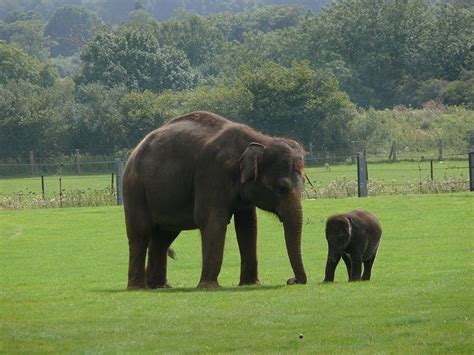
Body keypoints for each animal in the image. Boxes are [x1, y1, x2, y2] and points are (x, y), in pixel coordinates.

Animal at [122, 111, 308, 290]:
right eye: (281, 188)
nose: (291, 280)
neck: (260, 140)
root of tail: (135, 150)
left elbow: (248, 225)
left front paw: (250, 284)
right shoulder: (212, 175)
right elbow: (212, 220)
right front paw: (208, 286)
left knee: (164, 236)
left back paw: (159, 286)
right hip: (134, 189)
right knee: (141, 232)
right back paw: (139, 287)